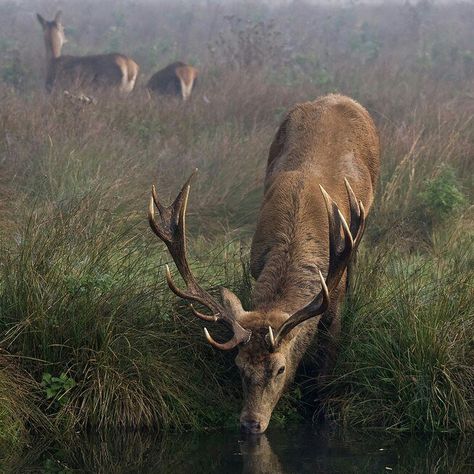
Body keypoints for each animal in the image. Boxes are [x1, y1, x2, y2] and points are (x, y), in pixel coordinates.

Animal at [146, 92, 380, 434]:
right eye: (240, 366)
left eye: (280, 369)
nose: (251, 423)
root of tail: (336, 96)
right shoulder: (256, 264)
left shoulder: (333, 293)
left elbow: (327, 355)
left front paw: (320, 408)